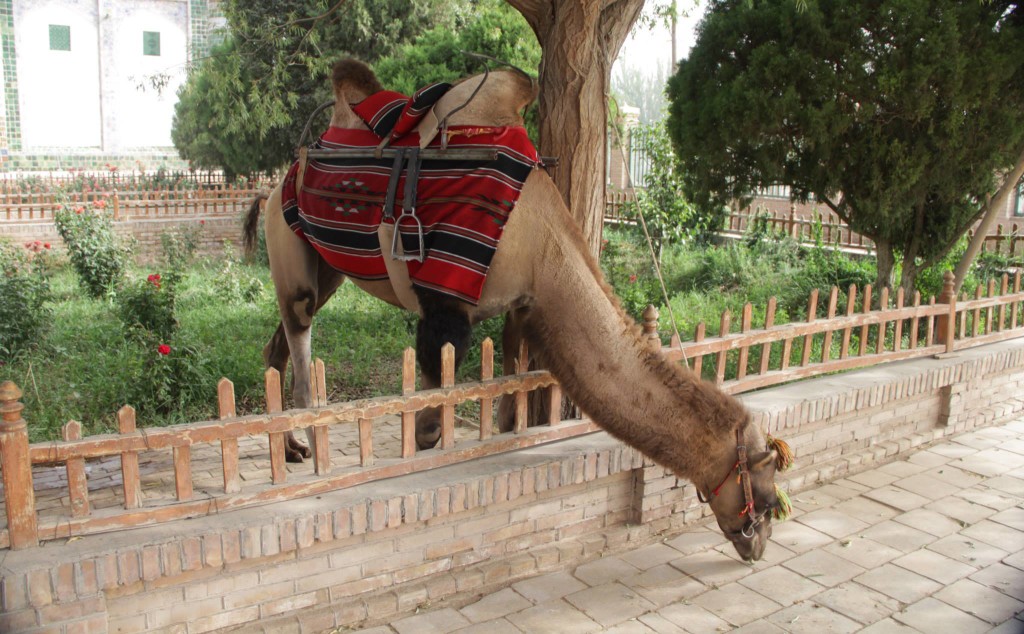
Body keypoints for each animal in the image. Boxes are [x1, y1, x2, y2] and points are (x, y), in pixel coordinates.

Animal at [243, 57, 786, 557]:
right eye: (765, 493)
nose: (758, 544)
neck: (539, 244)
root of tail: (273, 183)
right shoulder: (446, 303)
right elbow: (430, 416)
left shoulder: (519, 309)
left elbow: (506, 408)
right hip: (287, 239)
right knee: (300, 327)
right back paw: (302, 443)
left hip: (327, 265)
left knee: (277, 343)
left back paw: (292, 447)